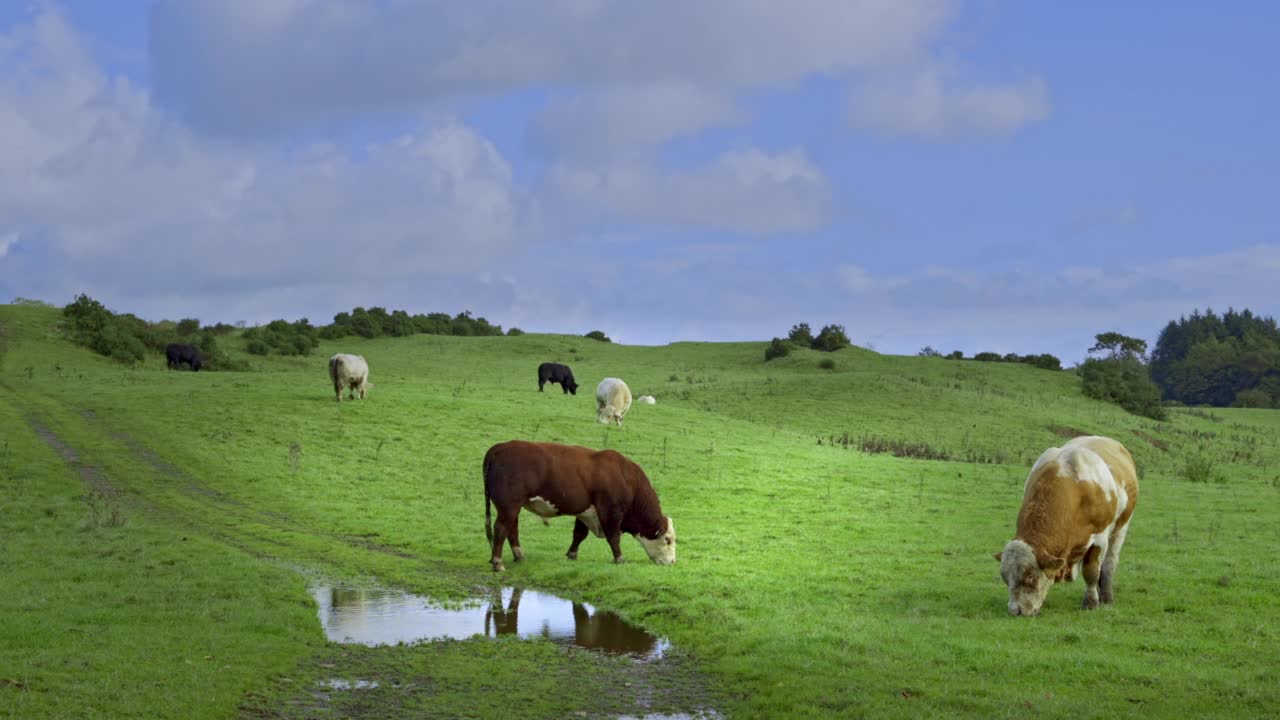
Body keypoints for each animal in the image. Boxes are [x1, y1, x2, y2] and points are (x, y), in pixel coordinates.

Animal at [481, 440, 680, 568]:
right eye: (667, 539)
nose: (672, 562)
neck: (625, 478)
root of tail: (499, 448)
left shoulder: (585, 511)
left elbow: (579, 534)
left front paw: (572, 554)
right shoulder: (611, 512)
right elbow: (613, 537)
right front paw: (619, 558)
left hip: (512, 507)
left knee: (511, 529)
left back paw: (519, 556)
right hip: (509, 506)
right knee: (501, 529)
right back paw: (497, 562)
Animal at [998, 435, 1141, 614]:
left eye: (1030, 577)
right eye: (1005, 578)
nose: (1015, 611)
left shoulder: (1100, 537)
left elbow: (1091, 571)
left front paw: (1091, 602)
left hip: (1121, 527)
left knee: (1109, 562)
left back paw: (1106, 596)